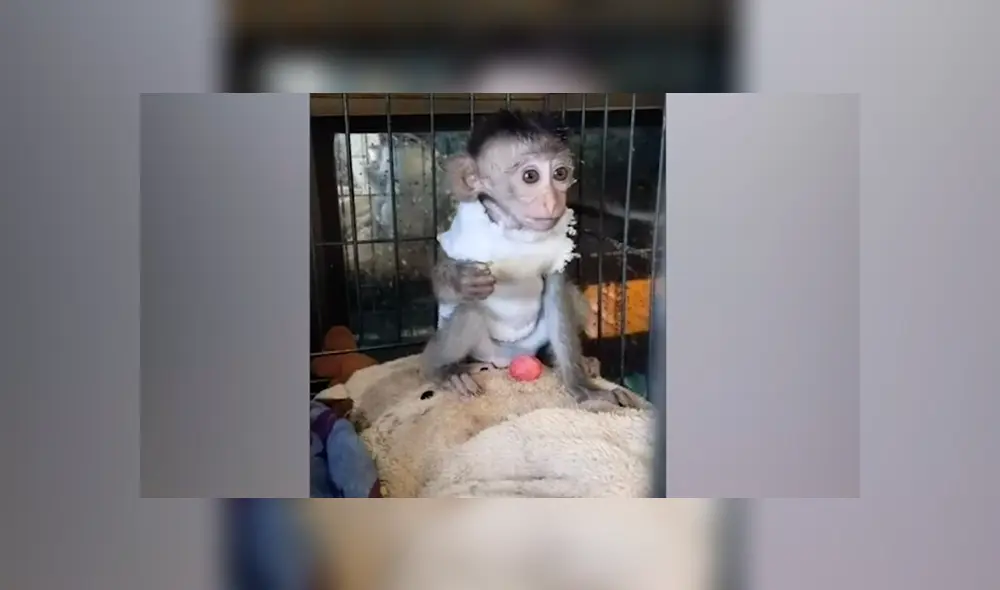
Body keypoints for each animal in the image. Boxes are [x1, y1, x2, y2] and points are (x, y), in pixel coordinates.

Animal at [419, 109, 649, 411]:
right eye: (530, 176)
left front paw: (583, 388)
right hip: (483, 348)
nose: (553, 202)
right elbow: (443, 283)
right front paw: (461, 281)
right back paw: (441, 369)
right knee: (470, 312)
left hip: (534, 341)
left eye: (560, 173)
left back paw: (568, 359)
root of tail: (506, 359)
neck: (514, 228)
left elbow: (557, 292)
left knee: (567, 299)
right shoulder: (465, 231)